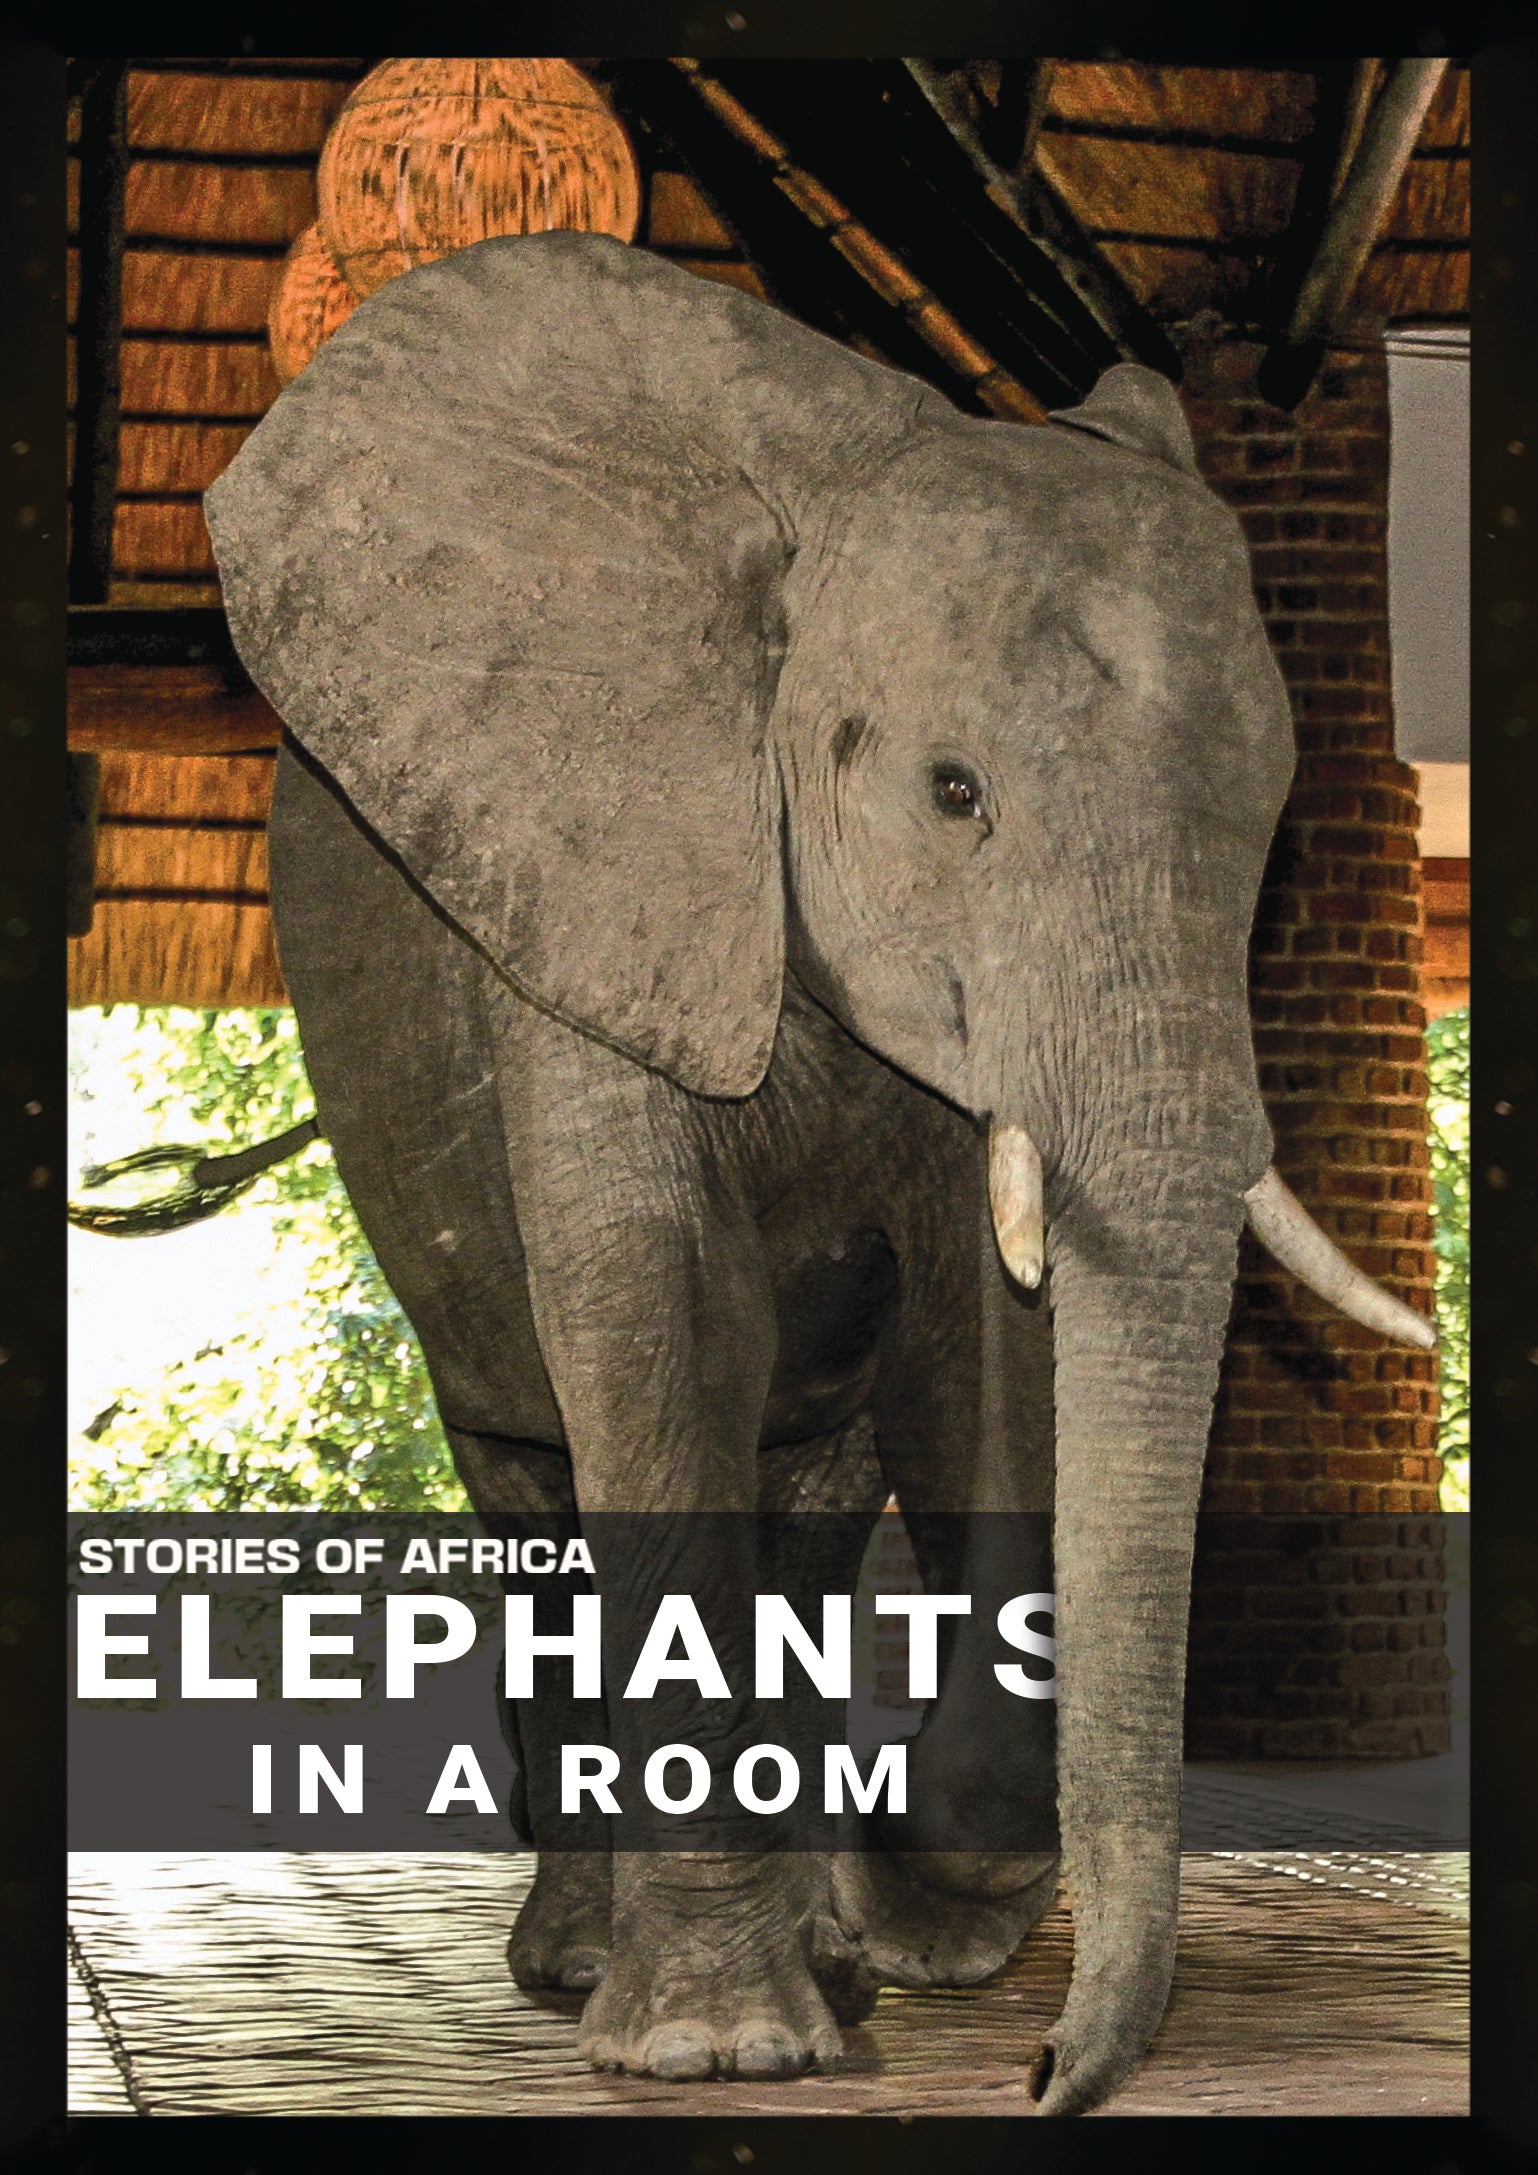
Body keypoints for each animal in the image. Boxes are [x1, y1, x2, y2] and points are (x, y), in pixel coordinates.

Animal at [204, 230, 1433, 2114]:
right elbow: (663, 1321)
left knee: (806, 1495)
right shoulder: (590, 888)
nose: (1050, 2077)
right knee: (533, 1481)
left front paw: (892, 1928)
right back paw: (585, 1972)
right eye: (952, 792)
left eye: (1268, 837)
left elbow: (991, 1354)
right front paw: (717, 2049)